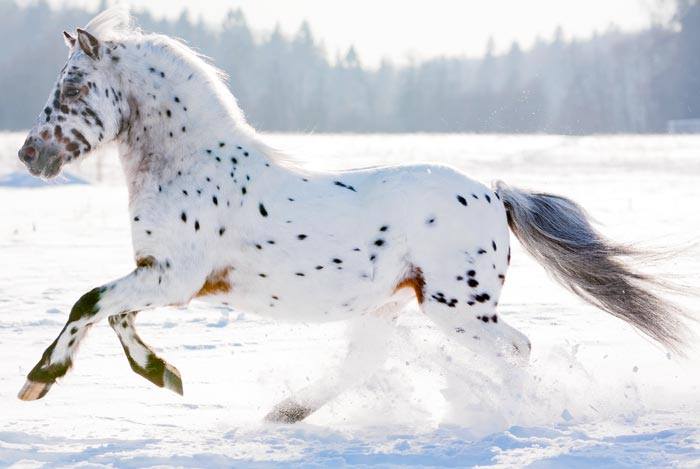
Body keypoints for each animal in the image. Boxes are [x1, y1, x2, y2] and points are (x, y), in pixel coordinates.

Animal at [16, 6, 688, 416]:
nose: (29, 153)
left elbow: (88, 304)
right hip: (393, 305)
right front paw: (164, 374)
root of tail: (494, 195)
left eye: (73, 85)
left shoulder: (175, 278)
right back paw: (283, 415)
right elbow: (112, 315)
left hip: (456, 309)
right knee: (362, 365)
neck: (190, 164)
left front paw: (40, 379)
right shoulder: (160, 275)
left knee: (516, 350)